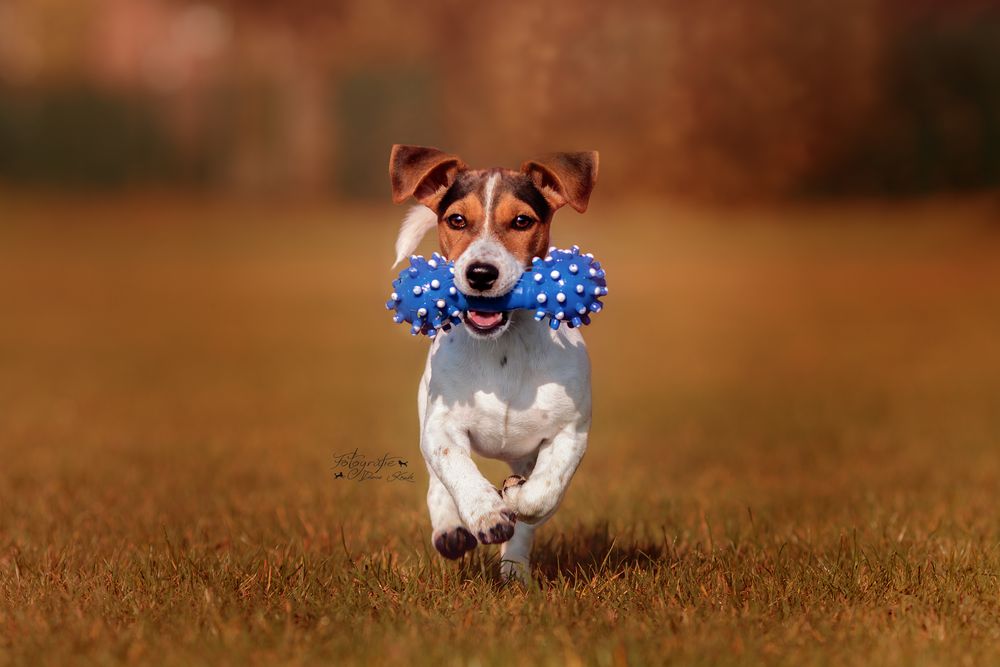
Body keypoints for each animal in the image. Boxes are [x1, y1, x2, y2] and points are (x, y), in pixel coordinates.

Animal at [386, 144, 596, 580]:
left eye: (521, 221)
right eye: (456, 219)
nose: (481, 273)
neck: (503, 347)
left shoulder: (570, 433)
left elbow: (542, 493)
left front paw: (514, 498)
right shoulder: (441, 426)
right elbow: (456, 469)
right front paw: (486, 513)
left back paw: (515, 570)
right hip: (425, 412)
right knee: (437, 481)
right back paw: (451, 530)